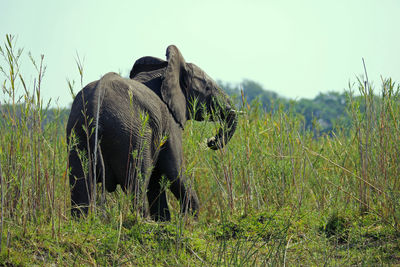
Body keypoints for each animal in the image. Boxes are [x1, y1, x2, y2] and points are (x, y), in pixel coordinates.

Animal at [66, 45, 238, 222]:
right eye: (208, 88)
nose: (211, 141)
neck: (164, 70)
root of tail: (96, 102)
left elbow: (157, 179)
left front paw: (166, 221)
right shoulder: (170, 121)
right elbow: (175, 171)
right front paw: (191, 221)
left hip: (78, 133)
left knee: (81, 184)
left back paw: (81, 222)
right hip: (132, 134)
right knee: (137, 181)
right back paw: (144, 222)